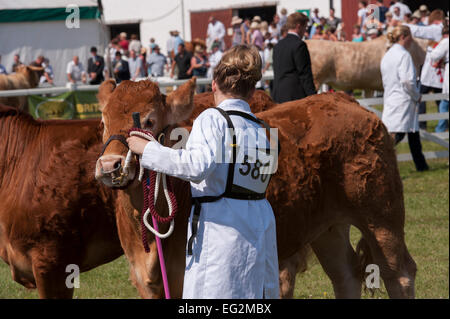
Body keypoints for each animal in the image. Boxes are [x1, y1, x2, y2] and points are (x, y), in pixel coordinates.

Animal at [96, 78, 416, 300]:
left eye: (149, 120)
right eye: (103, 121)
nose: (110, 166)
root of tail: (344, 100)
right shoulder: (145, 281)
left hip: (381, 214)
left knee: (398, 274)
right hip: (328, 227)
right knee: (345, 275)